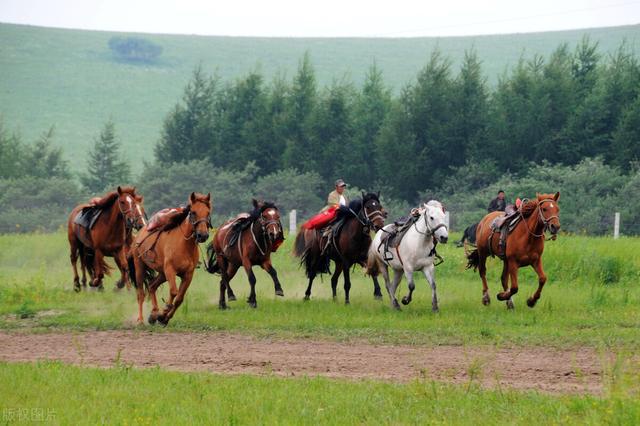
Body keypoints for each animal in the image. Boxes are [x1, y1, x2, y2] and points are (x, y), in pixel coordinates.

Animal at [128, 193, 212, 326]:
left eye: (208, 213)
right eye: (193, 212)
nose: (202, 235)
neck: (184, 245)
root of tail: (139, 234)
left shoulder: (188, 274)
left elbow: (179, 299)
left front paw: (164, 317)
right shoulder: (170, 270)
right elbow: (173, 292)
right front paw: (164, 311)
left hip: (162, 274)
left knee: (152, 286)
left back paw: (154, 313)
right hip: (140, 267)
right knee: (141, 293)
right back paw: (141, 319)